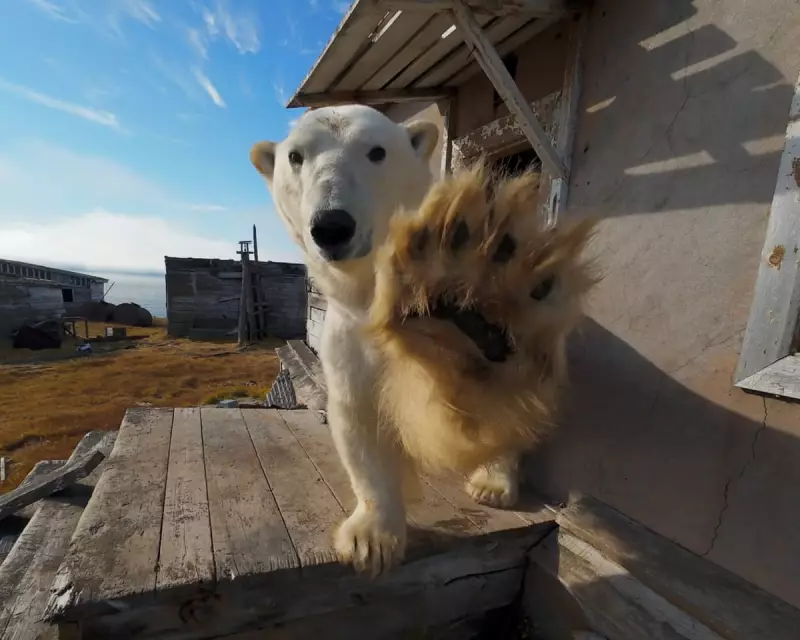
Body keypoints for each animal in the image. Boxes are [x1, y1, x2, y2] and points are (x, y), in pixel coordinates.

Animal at [250, 104, 597, 576]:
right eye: (296, 157)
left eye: (376, 151)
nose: (332, 226)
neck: (374, 296)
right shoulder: (349, 336)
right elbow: (359, 417)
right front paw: (371, 540)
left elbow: (462, 413)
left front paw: (462, 319)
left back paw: (493, 477)